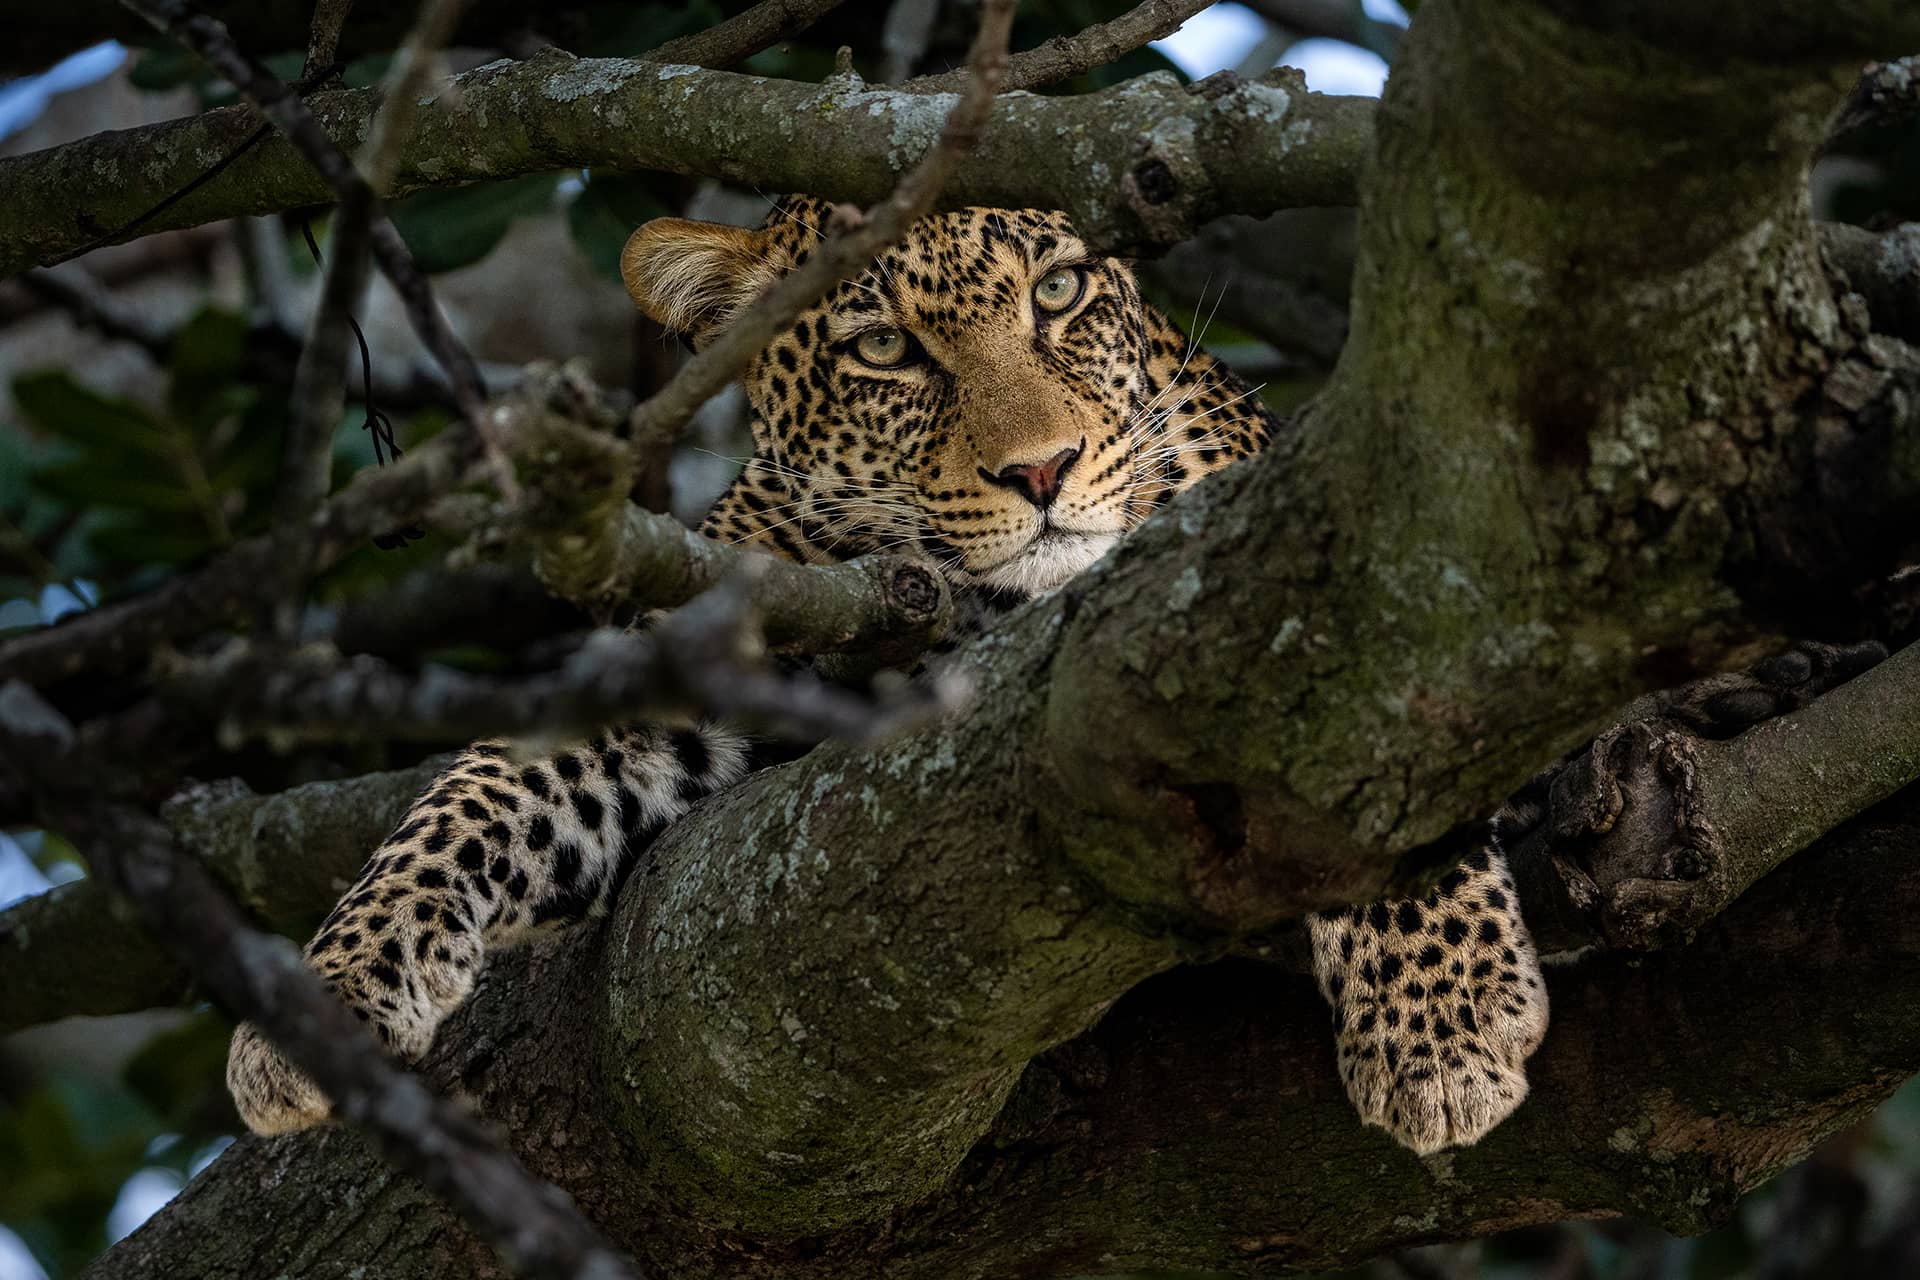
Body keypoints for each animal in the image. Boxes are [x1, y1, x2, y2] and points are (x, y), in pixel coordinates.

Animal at [228, 195, 1543, 1159]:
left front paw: (1443, 1026)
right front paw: (321, 999)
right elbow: (471, 796)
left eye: (1056, 291)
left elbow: (1378, 711)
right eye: (882, 350)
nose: (1045, 468)